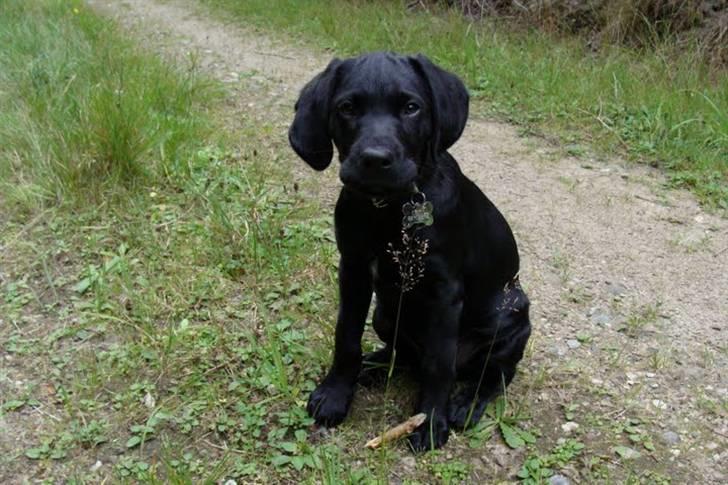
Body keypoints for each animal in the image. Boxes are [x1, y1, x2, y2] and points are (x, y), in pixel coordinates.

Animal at [288, 53, 532, 450]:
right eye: (347, 108)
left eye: (411, 108)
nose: (375, 159)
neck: (388, 208)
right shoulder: (353, 272)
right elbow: (346, 338)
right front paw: (337, 392)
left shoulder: (444, 295)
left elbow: (439, 364)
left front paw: (430, 421)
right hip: (385, 315)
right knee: (404, 354)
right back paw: (374, 366)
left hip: (507, 321)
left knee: (494, 374)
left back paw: (465, 403)